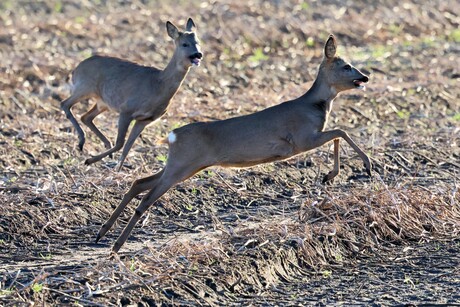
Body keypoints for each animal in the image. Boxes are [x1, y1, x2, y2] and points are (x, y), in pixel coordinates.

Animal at [60, 17, 202, 171]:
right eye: (184, 44)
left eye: (198, 42)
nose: (198, 54)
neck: (158, 85)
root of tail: (75, 69)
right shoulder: (127, 109)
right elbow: (120, 143)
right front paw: (90, 160)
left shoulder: (145, 119)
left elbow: (128, 146)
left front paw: (117, 169)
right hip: (84, 87)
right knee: (65, 104)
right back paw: (82, 142)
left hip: (103, 102)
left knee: (86, 117)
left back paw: (102, 144)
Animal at [95, 35, 372, 253]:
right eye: (347, 66)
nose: (365, 77)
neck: (315, 105)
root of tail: (172, 136)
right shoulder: (302, 139)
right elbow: (341, 131)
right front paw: (361, 167)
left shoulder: (308, 139)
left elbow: (338, 134)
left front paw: (330, 175)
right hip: (181, 166)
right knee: (146, 199)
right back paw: (115, 246)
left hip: (182, 165)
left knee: (139, 183)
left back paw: (102, 233)